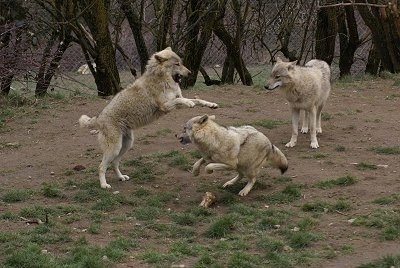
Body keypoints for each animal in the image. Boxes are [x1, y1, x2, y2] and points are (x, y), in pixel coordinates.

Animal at [79, 46, 219, 188]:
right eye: (177, 64)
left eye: (181, 63)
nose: (190, 73)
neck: (163, 80)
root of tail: (98, 118)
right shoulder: (166, 106)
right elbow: (181, 100)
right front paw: (190, 103)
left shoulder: (176, 101)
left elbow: (198, 100)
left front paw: (211, 105)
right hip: (115, 148)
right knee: (101, 166)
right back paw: (104, 185)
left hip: (126, 145)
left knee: (114, 163)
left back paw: (121, 177)